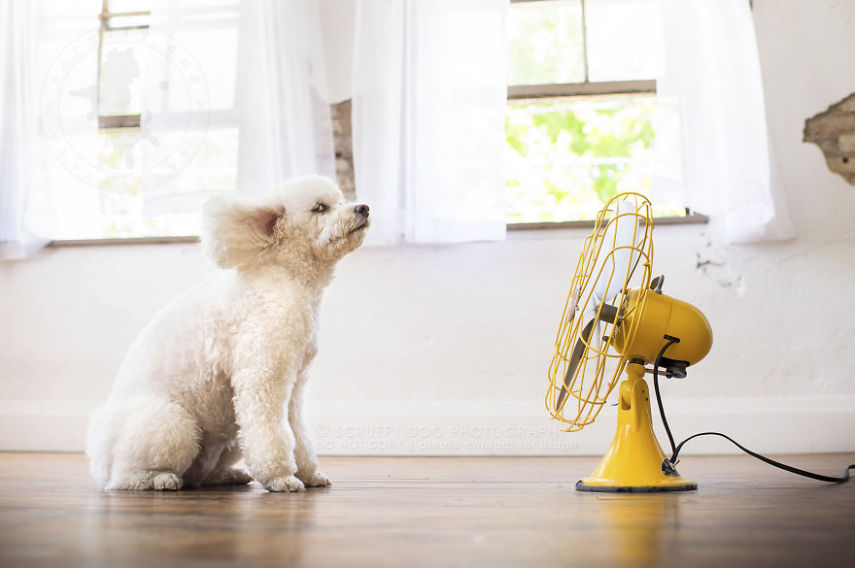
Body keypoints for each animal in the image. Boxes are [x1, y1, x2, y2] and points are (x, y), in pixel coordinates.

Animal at [85, 175, 370, 490]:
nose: (363, 208)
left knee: (200, 476)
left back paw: (227, 475)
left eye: (341, 200)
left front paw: (308, 474)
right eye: (319, 207)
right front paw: (281, 477)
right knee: (124, 478)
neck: (287, 278)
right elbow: (272, 432)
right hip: (172, 423)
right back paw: (159, 478)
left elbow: (298, 435)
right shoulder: (263, 376)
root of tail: (101, 460)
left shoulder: (294, 386)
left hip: (229, 434)